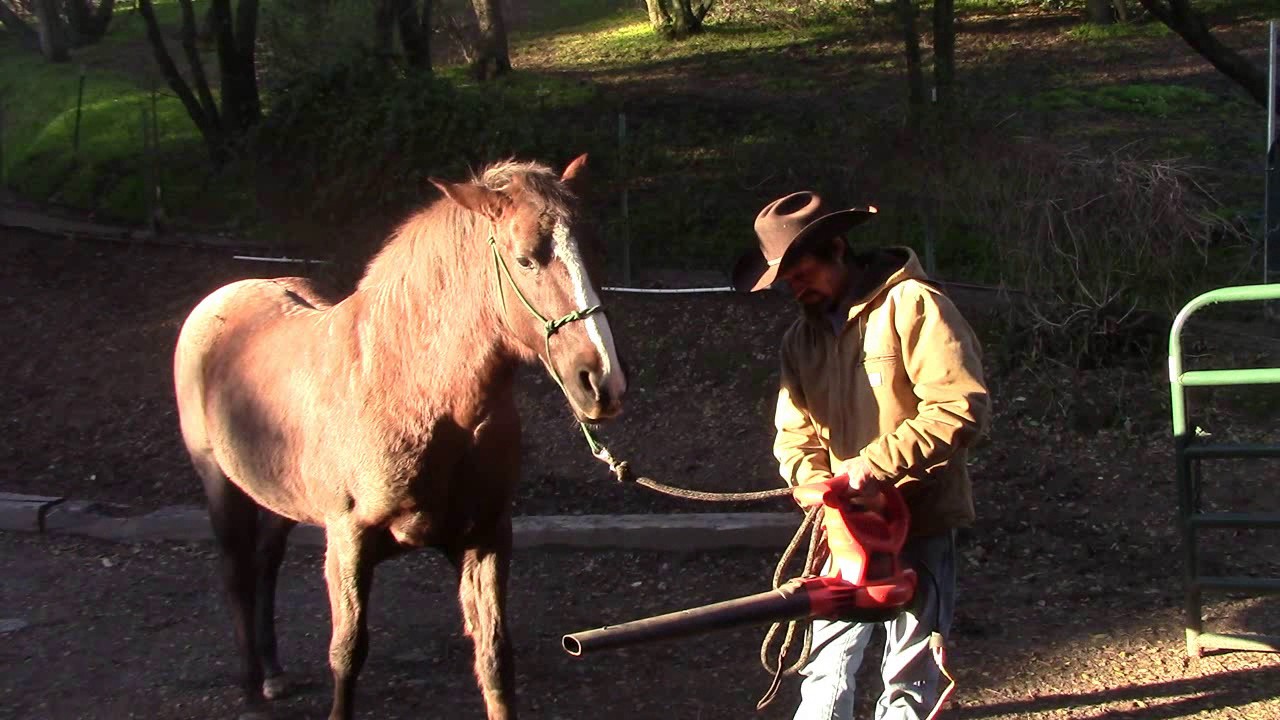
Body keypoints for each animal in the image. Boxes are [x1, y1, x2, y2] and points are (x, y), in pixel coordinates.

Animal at [172, 154, 627, 720]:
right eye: (525, 260)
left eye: (591, 253)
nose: (603, 381)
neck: (411, 392)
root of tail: (220, 298)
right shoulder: (348, 541)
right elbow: (347, 654)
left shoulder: (485, 537)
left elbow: (494, 655)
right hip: (220, 483)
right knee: (236, 573)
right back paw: (253, 690)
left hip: (281, 497)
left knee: (265, 562)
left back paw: (273, 674)